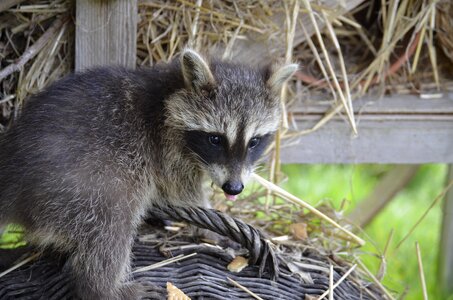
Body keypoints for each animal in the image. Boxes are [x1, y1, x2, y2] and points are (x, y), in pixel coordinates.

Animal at [0, 50, 296, 298]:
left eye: (254, 142)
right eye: (215, 139)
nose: (233, 188)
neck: (170, 91)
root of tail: (11, 176)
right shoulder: (166, 149)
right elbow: (183, 193)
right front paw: (208, 226)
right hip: (80, 182)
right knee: (111, 223)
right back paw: (102, 288)